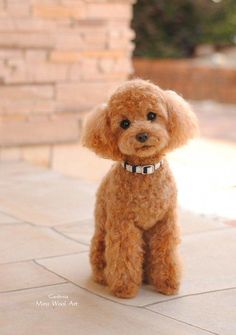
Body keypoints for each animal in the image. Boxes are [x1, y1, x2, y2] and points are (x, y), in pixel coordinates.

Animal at [81, 79, 197, 300]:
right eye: (124, 123)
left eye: (151, 115)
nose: (142, 135)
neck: (144, 170)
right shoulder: (123, 224)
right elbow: (124, 255)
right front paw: (124, 288)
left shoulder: (165, 222)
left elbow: (166, 254)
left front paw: (168, 283)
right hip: (101, 239)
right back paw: (105, 278)